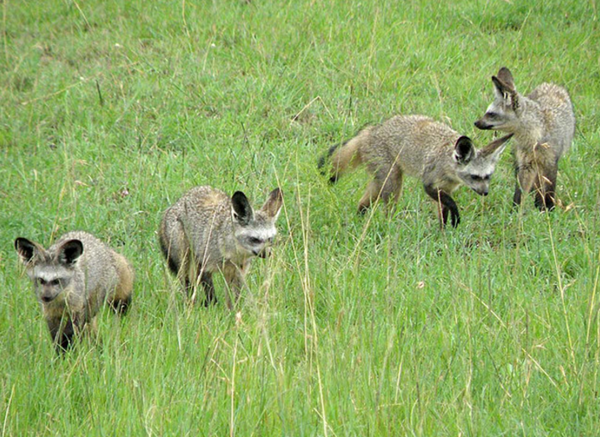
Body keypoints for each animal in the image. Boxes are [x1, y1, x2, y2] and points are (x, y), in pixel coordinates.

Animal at [318, 114, 510, 227]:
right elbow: (450, 204)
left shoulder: (446, 188)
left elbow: (443, 212)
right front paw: (454, 220)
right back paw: (389, 227)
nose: (485, 193)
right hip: (393, 183)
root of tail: (371, 131)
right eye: (475, 177)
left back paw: (359, 221)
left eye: (488, 176)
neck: (447, 163)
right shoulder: (430, 183)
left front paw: (445, 234)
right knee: (387, 209)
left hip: (380, 183)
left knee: (362, 203)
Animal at [474, 67, 576, 210]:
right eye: (486, 112)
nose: (476, 123)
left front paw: (547, 211)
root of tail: (551, 84)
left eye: (491, 114)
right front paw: (515, 212)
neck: (534, 138)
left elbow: (549, 193)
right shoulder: (525, 165)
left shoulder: (550, 164)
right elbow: (519, 195)